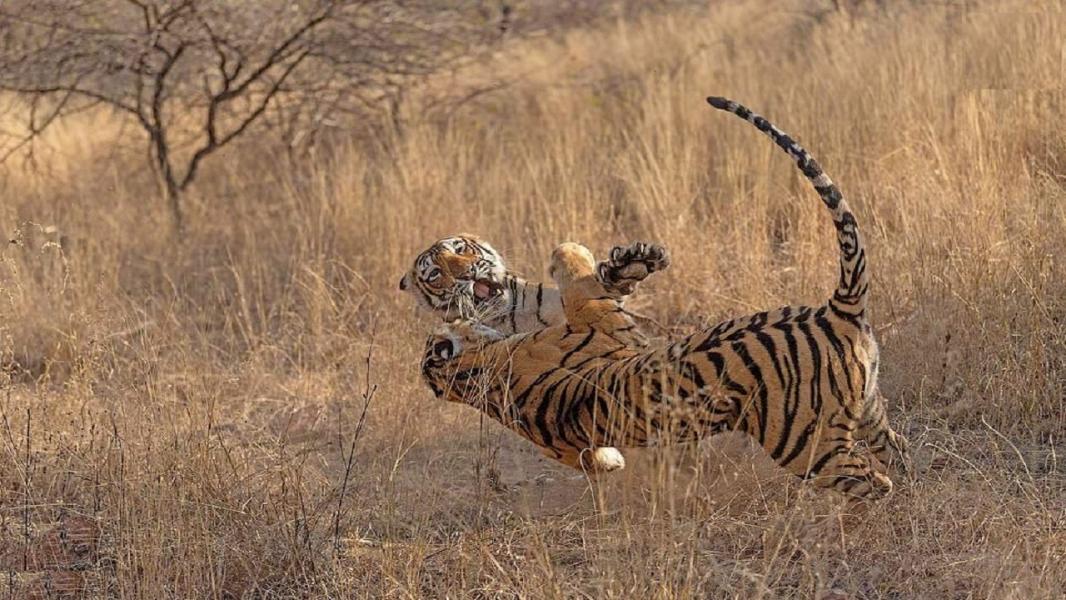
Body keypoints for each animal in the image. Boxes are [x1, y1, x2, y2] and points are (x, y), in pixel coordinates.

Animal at [415, 96, 908, 500]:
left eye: (459, 251)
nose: (465, 277)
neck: (474, 376)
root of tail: (836, 313)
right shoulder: (602, 325)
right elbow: (580, 285)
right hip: (810, 446)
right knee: (875, 482)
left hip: (868, 409)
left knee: (898, 453)